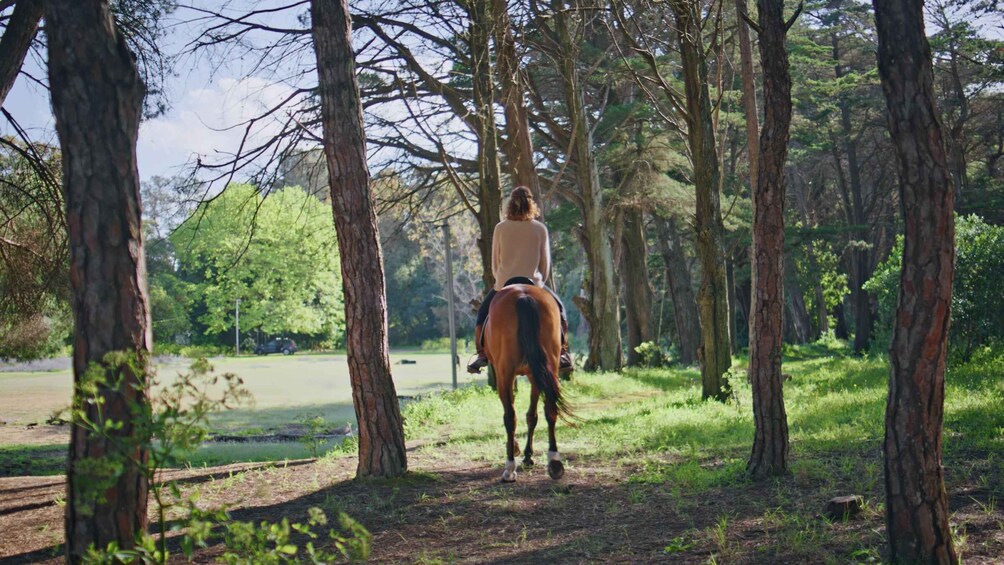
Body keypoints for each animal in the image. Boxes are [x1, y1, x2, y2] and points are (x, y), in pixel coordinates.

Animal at [483, 279, 570, 483]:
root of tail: (523, 295)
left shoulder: (503, 373)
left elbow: (513, 410)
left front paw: (516, 449)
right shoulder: (534, 374)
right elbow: (532, 416)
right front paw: (528, 455)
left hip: (505, 372)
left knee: (510, 417)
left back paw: (509, 468)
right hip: (549, 367)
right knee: (550, 410)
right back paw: (554, 462)